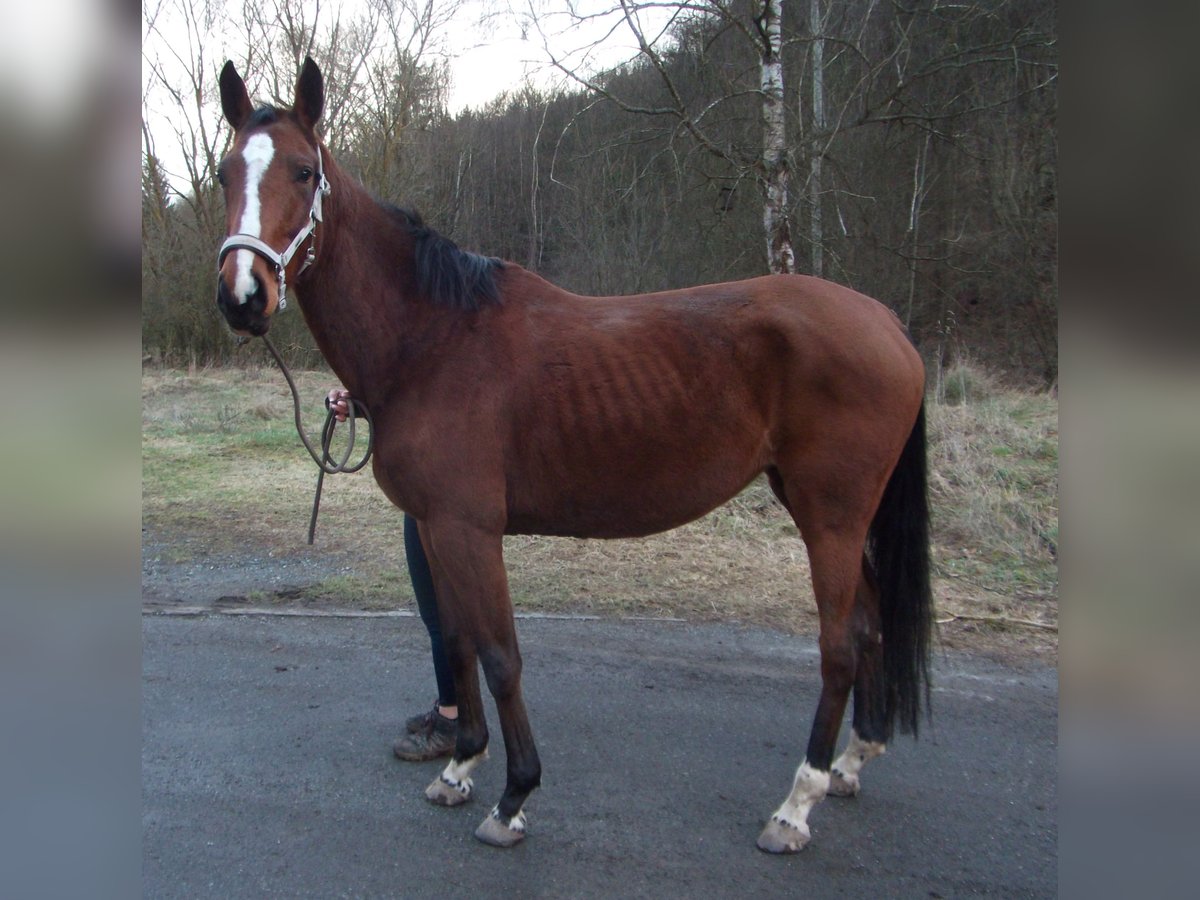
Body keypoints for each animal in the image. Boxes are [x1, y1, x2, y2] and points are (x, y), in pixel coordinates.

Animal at [216, 60, 931, 854]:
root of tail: (887, 323)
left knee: (840, 646)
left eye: (305, 172)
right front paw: (460, 767)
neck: (432, 338)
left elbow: (500, 655)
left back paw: (796, 805)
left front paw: (513, 797)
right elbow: (458, 641)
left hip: (829, 519)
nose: (243, 296)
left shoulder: (468, 529)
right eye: (223, 174)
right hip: (835, 517)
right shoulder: (434, 527)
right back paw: (850, 764)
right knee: (869, 624)